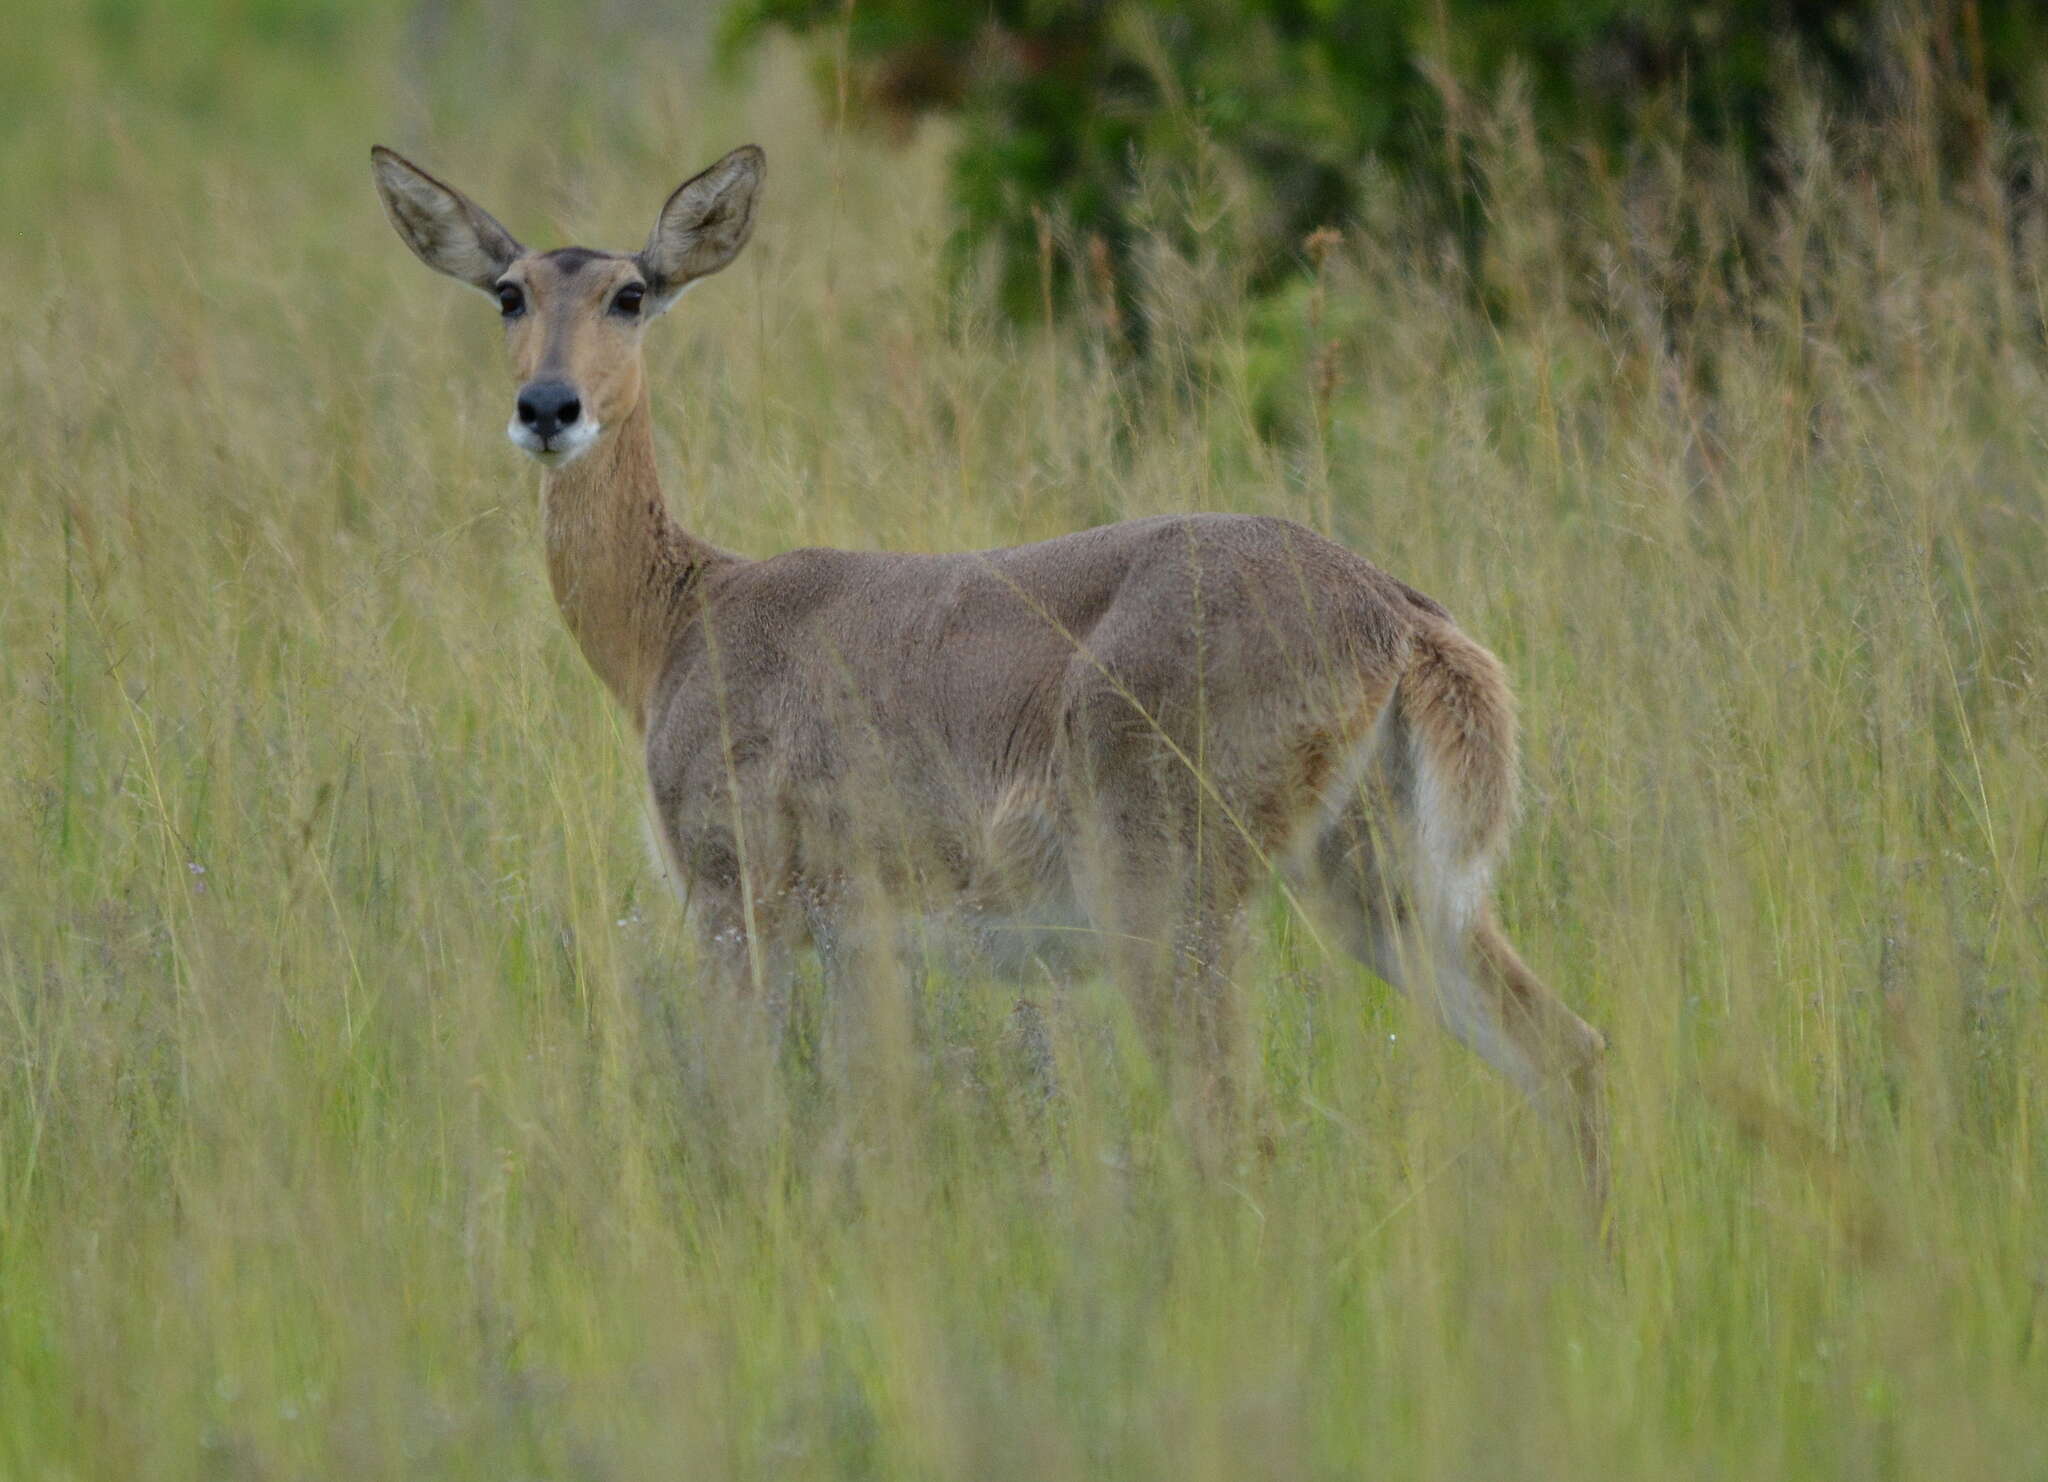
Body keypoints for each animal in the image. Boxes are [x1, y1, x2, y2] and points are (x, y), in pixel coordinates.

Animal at [372, 139, 1613, 1179]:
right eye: (508, 292)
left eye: (630, 293)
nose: (548, 405)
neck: (680, 619)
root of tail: (1400, 620)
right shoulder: (858, 934)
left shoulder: (736, 892)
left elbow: (747, 1115)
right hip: (1378, 873)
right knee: (1566, 1049)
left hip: (1168, 880)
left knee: (1237, 1123)